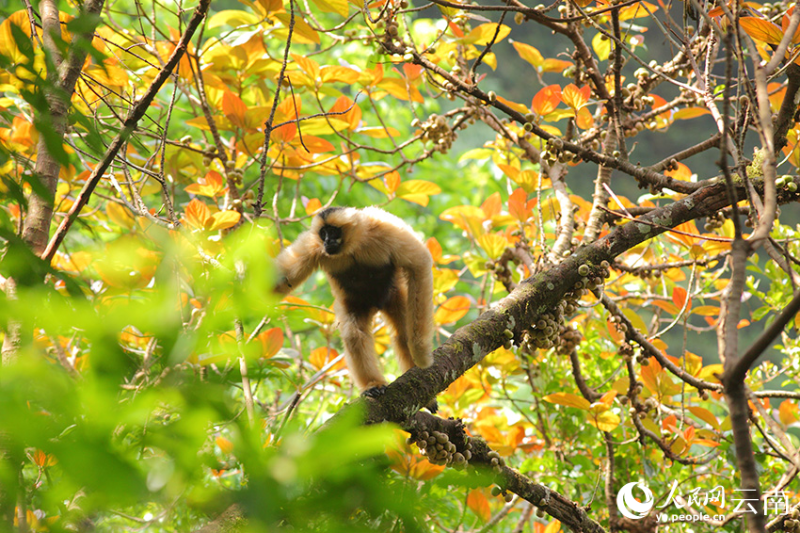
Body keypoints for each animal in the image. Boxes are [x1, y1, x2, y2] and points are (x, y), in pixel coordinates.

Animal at [275, 206, 435, 396]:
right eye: (323, 233)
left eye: (333, 231)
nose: (327, 241)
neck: (353, 248)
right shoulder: (311, 246)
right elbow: (283, 279)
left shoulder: (387, 230)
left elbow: (419, 263)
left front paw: (421, 355)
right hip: (357, 303)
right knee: (354, 334)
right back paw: (373, 384)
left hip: (395, 295)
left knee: (402, 333)